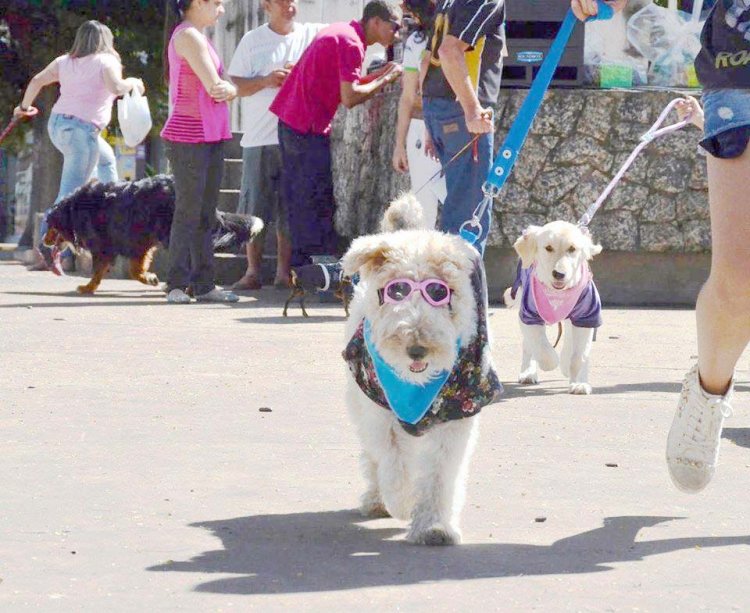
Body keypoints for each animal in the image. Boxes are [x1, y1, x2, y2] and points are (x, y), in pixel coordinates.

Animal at [44, 175, 262, 294]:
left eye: (48, 226)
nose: (44, 242)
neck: (74, 209)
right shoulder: (138, 243)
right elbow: (135, 270)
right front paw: (150, 278)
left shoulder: (105, 245)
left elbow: (98, 272)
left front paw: (88, 288)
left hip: (172, 233)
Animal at [506, 222, 604, 394]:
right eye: (548, 248)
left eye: (572, 249)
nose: (559, 274)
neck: (557, 293)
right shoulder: (528, 314)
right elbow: (541, 348)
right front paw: (551, 362)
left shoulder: (587, 315)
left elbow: (579, 356)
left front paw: (578, 382)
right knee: (529, 345)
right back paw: (528, 373)